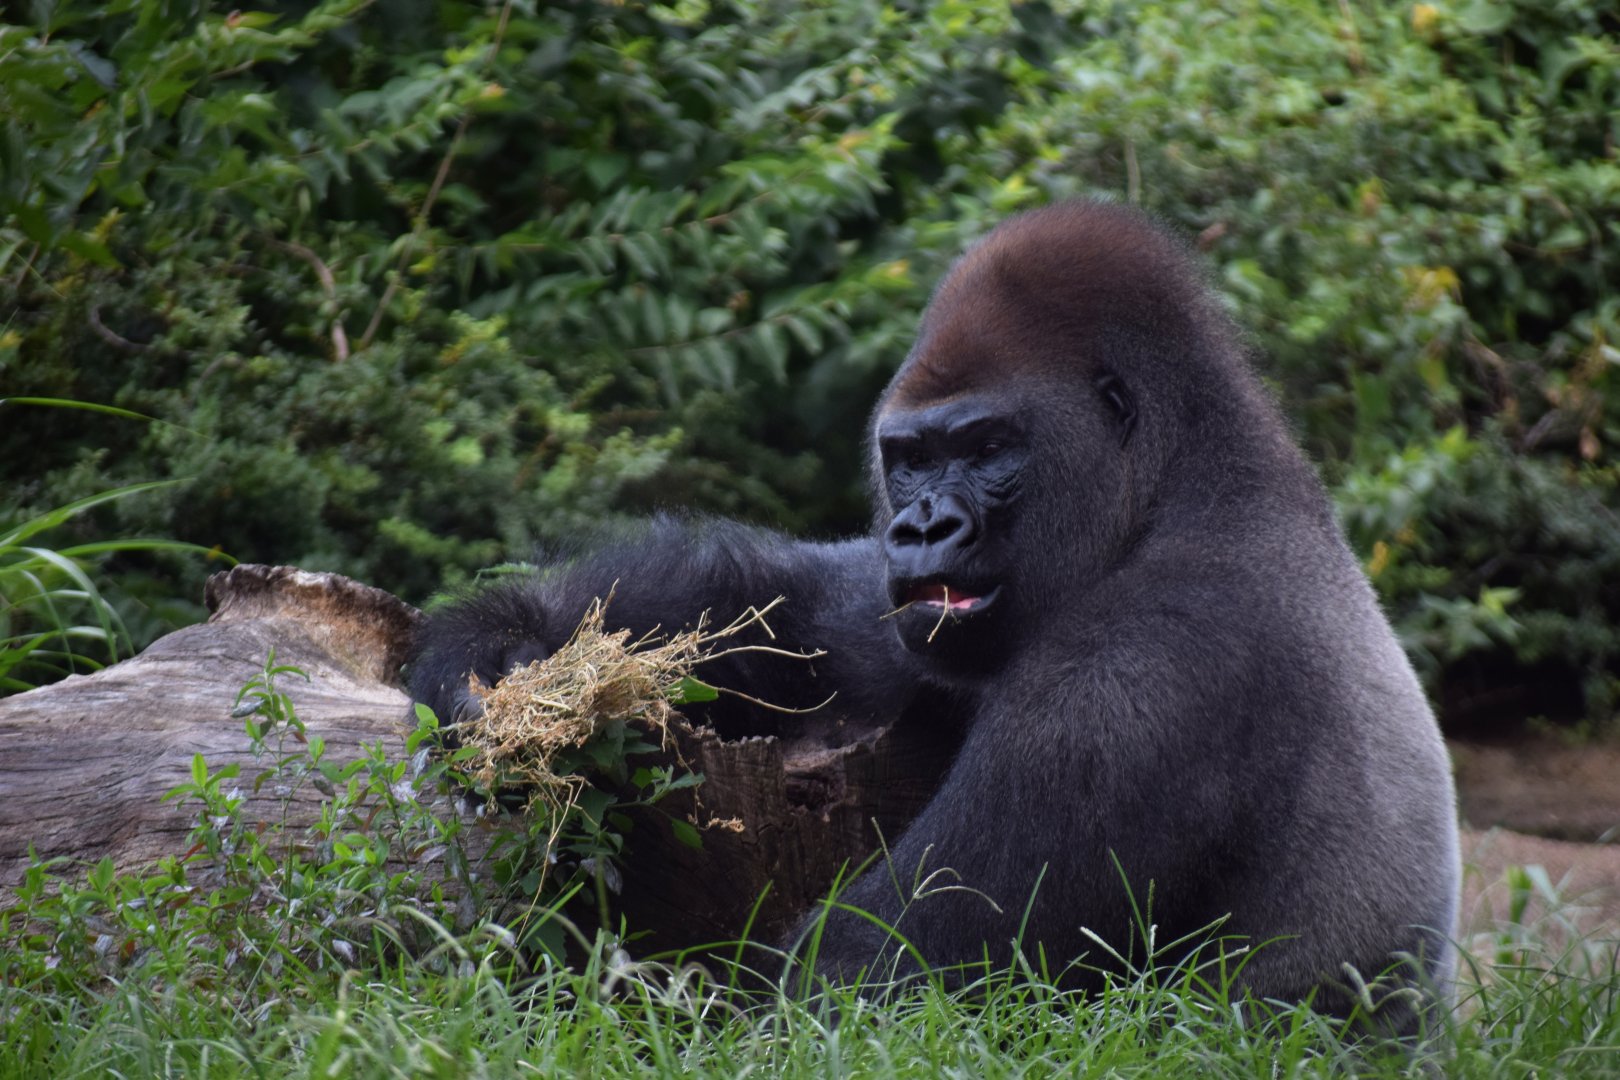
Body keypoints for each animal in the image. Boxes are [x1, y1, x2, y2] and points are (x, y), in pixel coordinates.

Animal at [409, 201, 1459, 1027]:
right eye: (911, 457)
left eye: (988, 448)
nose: (923, 528)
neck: (1179, 489)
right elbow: (794, 622)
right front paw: (494, 655)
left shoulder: (1143, 672)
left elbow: (865, 985)